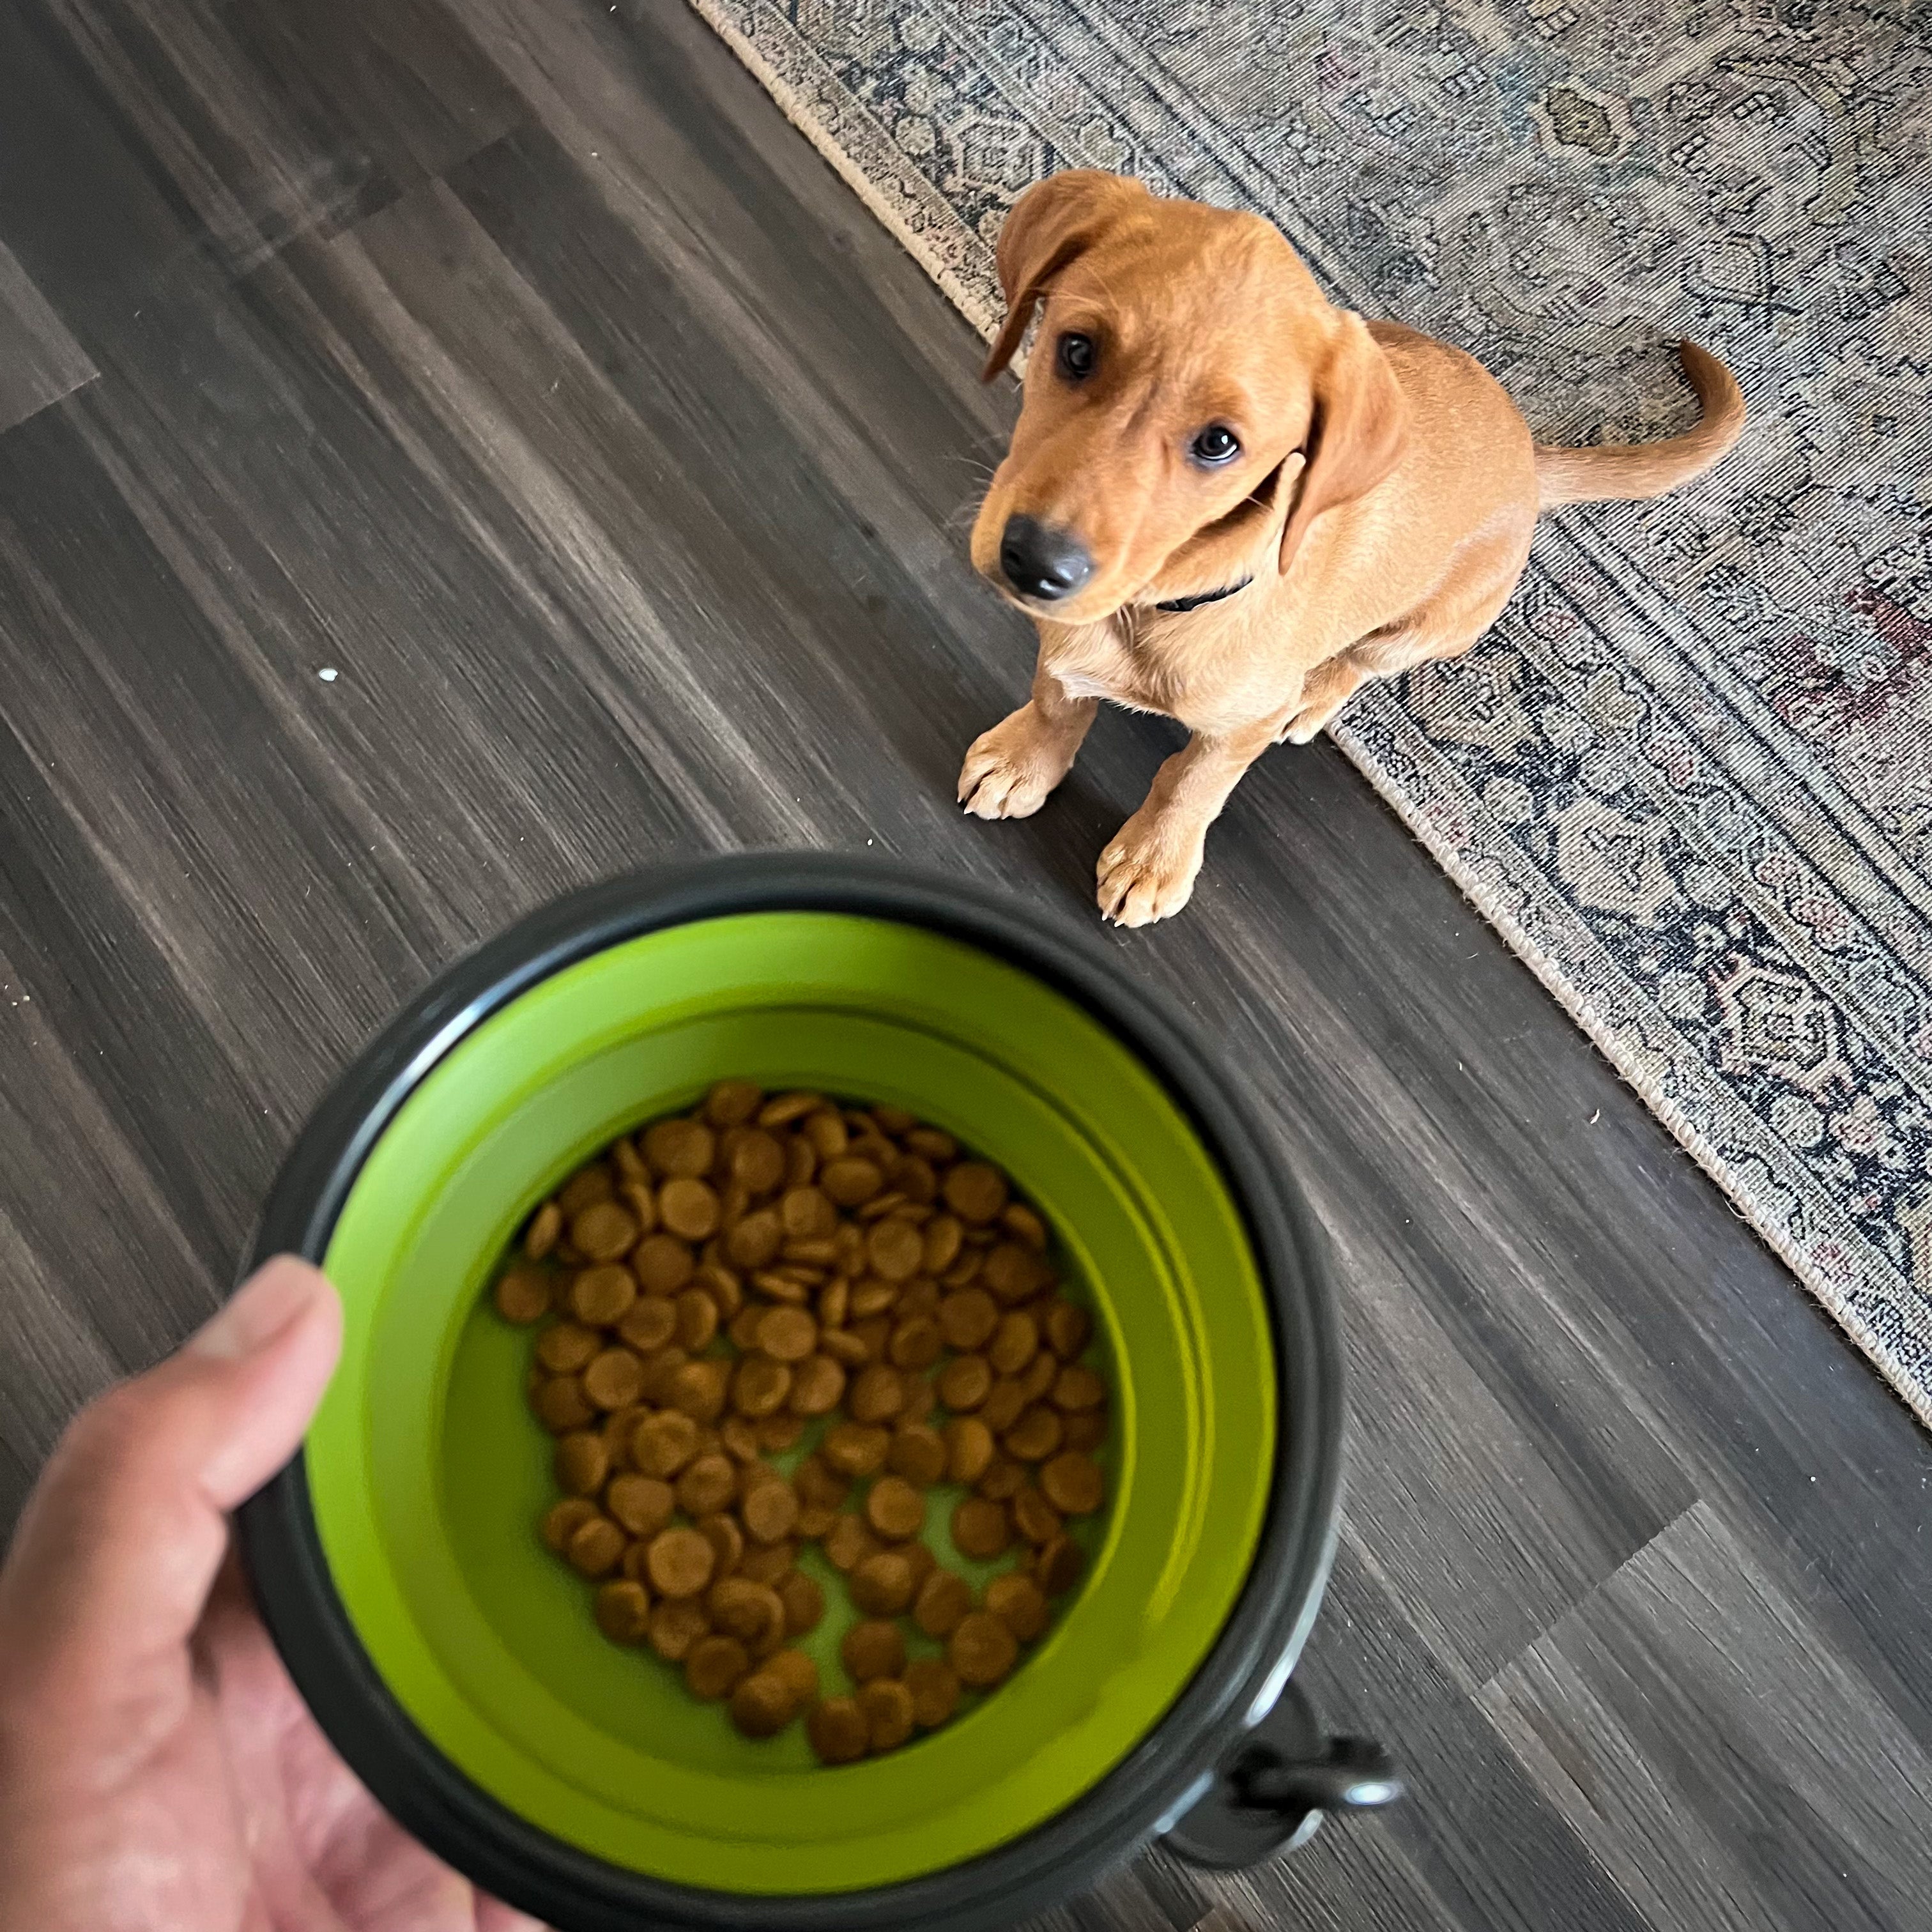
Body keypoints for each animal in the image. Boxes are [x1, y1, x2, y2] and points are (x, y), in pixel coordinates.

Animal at [958, 170, 1746, 923]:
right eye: (1077, 350)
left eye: (1219, 444)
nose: (1036, 564)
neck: (1162, 599)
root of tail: (1531, 457)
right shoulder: (1065, 646)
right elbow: (1057, 701)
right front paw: (1025, 763)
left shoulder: (1238, 727)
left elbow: (1193, 783)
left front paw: (1155, 861)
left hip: (1427, 628)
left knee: (1358, 664)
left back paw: (1314, 697)